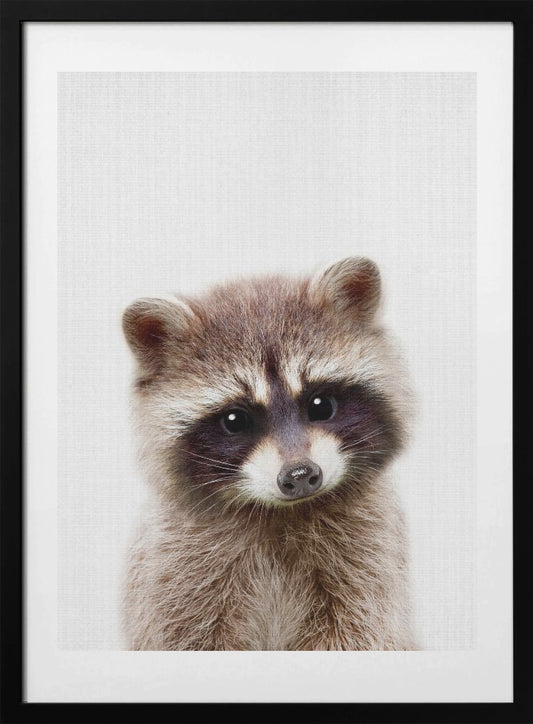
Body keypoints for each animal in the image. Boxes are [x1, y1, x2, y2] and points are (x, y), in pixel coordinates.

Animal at [122, 257, 415, 650]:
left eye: (321, 405)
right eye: (235, 420)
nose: (300, 475)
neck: (280, 513)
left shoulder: (369, 558)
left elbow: (361, 629)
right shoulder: (174, 570)